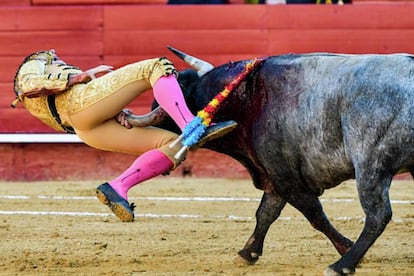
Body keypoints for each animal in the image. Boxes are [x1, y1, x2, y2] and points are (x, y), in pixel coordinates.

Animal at [127, 46, 414, 274]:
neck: (246, 97)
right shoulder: (273, 175)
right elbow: (266, 213)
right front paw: (248, 252)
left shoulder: (284, 174)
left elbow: (313, 214)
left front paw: (347, 248)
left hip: (370, 167)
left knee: (378, 215)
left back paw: (342, 265)